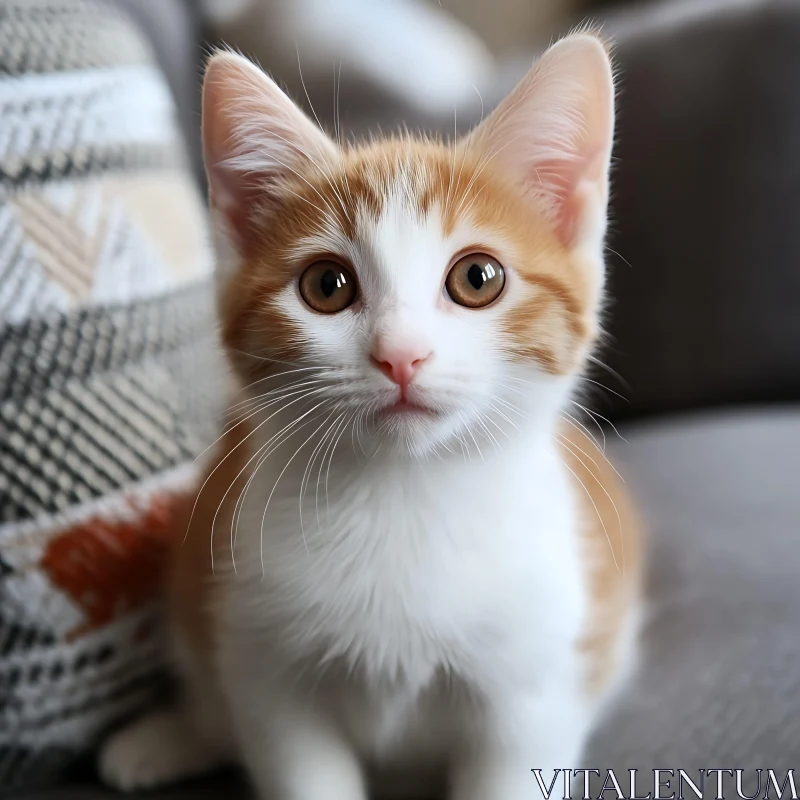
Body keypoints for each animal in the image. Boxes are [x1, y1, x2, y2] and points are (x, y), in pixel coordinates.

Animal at [100, 32, 644, 800]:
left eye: (477, 277)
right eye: (327, 286)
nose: (400, 355)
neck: (402, 497)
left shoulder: (533, 690)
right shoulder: (269, 678)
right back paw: (166, 738)